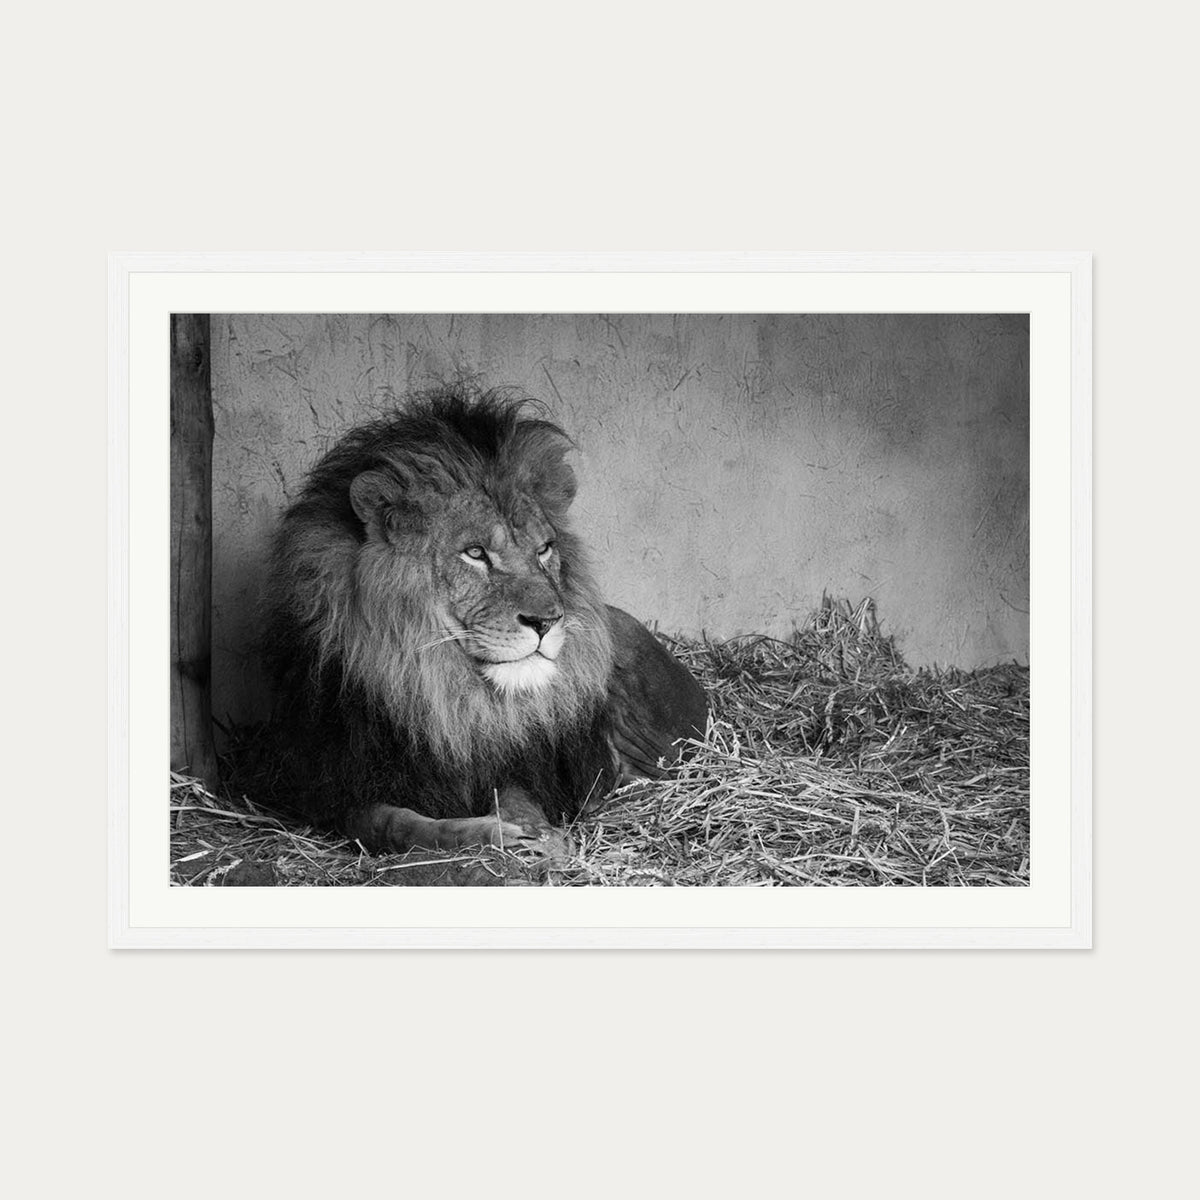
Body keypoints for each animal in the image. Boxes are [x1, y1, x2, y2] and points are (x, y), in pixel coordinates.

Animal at [262, 385, 708, 855]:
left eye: (544, 549)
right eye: (475, 553)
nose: (547, 621)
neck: (444, 694)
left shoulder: (518, 764)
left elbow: (517, 797)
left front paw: (540, 836)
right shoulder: (335, 788)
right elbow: (396, 825)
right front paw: (489, 833)